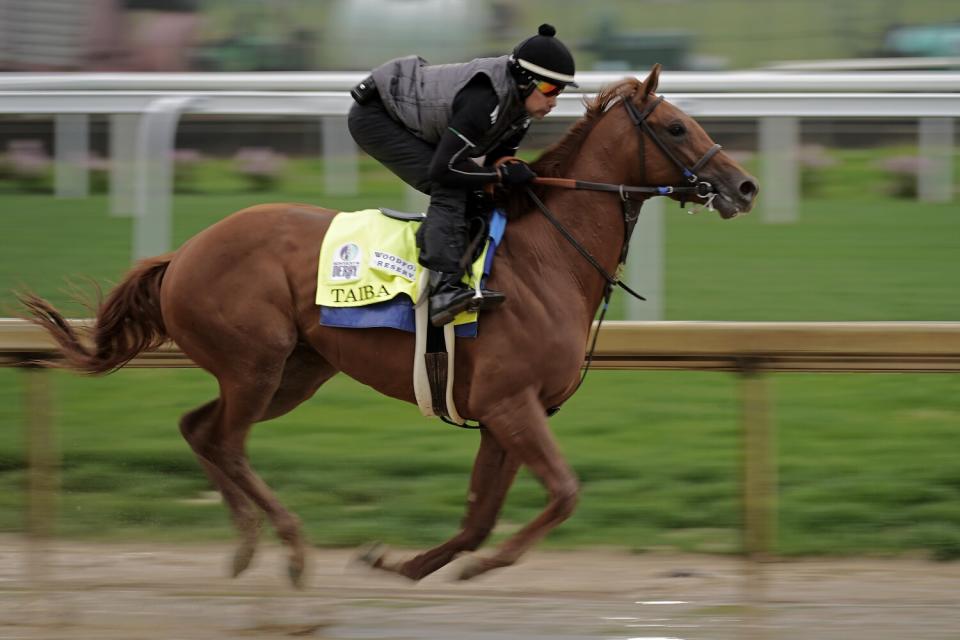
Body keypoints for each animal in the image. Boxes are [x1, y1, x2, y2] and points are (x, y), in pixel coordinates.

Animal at [20, 65, 756, 584]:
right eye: (677, 127)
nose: (744, 186)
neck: (548, 255)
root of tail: (183, 253)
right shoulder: (512, 403)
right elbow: (564, 493)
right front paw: (480, 566)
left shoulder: (502, 412)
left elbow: (480, 515)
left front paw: (397, 563)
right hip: (255, 363)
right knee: (227, 441)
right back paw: (291, 548)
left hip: (294, 371)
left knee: (200, 430)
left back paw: (247, 545)